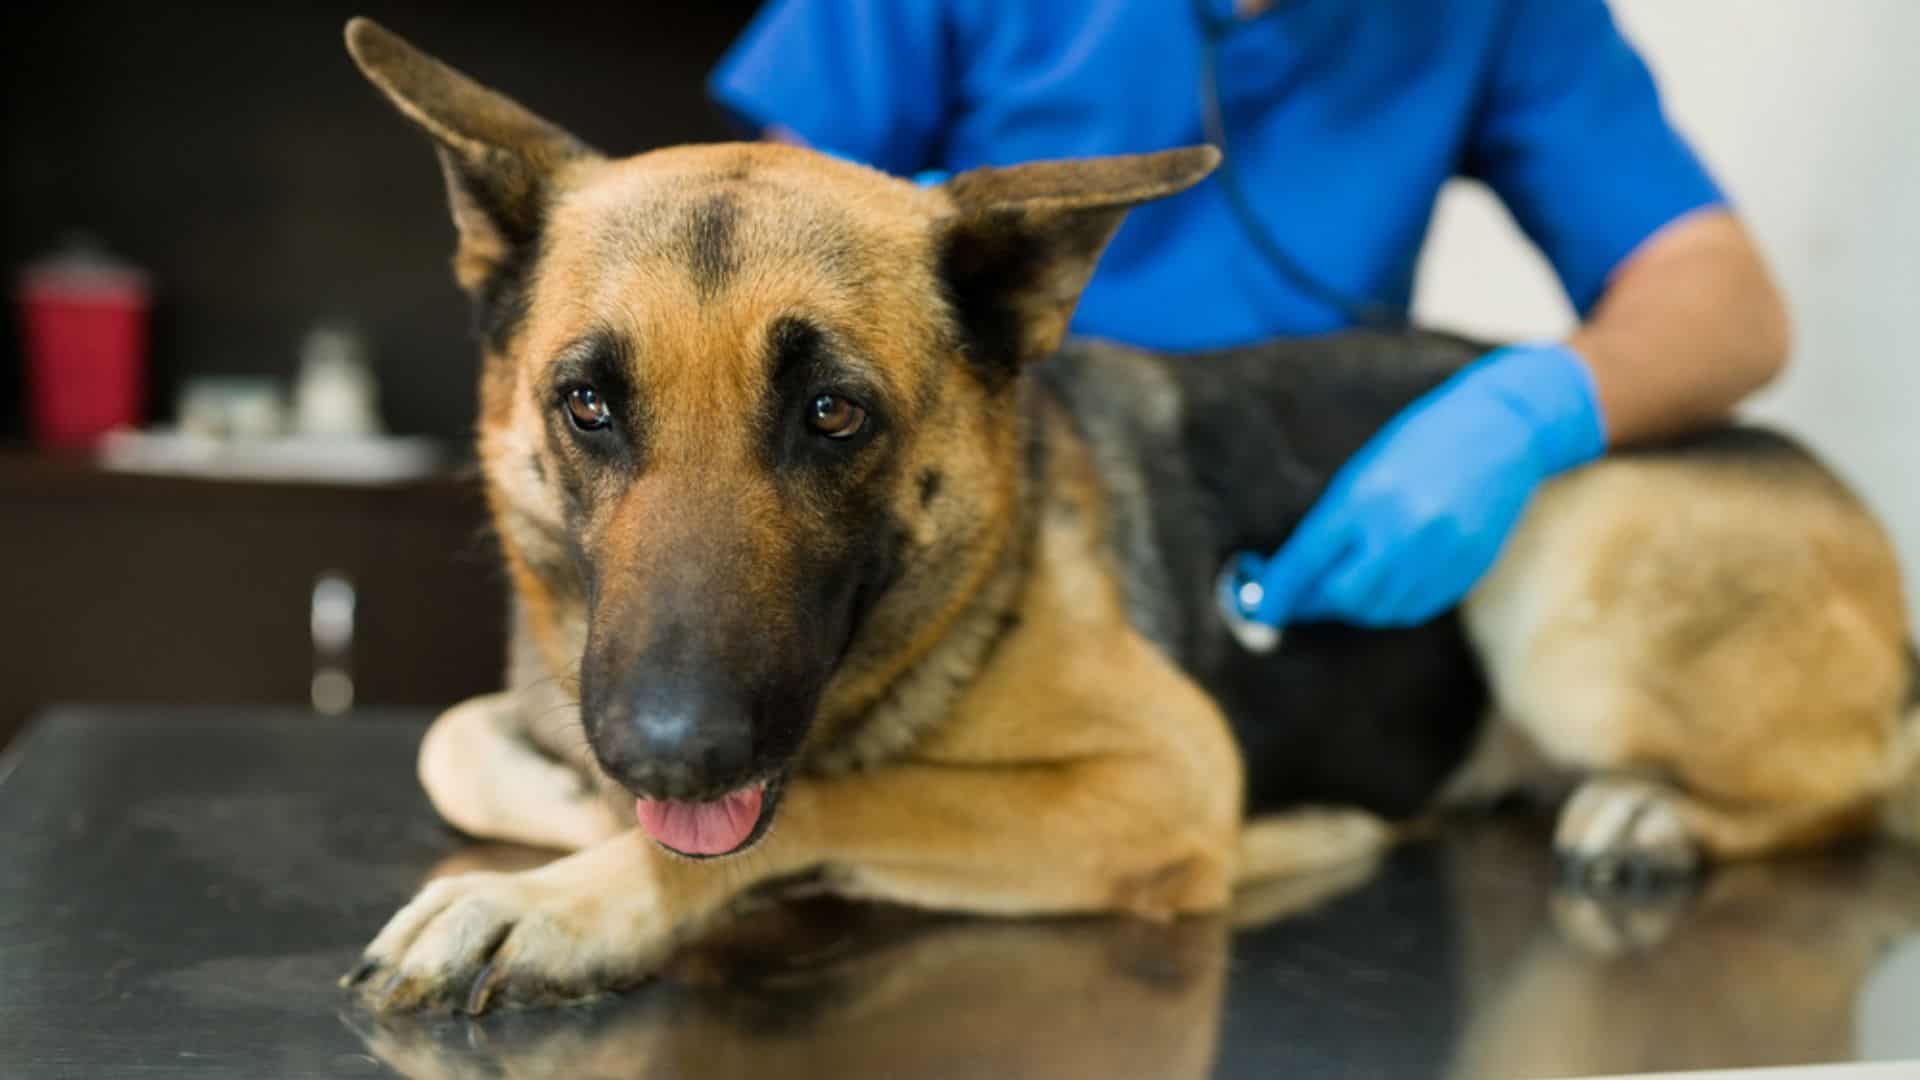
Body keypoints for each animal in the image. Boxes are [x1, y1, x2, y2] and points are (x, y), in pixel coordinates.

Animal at [345, 16, 1920, 1006]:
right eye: (588, 404)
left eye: (835, 414)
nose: (671, 754)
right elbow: (448, 743)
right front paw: (566, 814)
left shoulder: (1162, 773)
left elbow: (832, 805)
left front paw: (560, 901)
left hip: (1560, 572)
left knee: (1853, 781)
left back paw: (1651, 811)